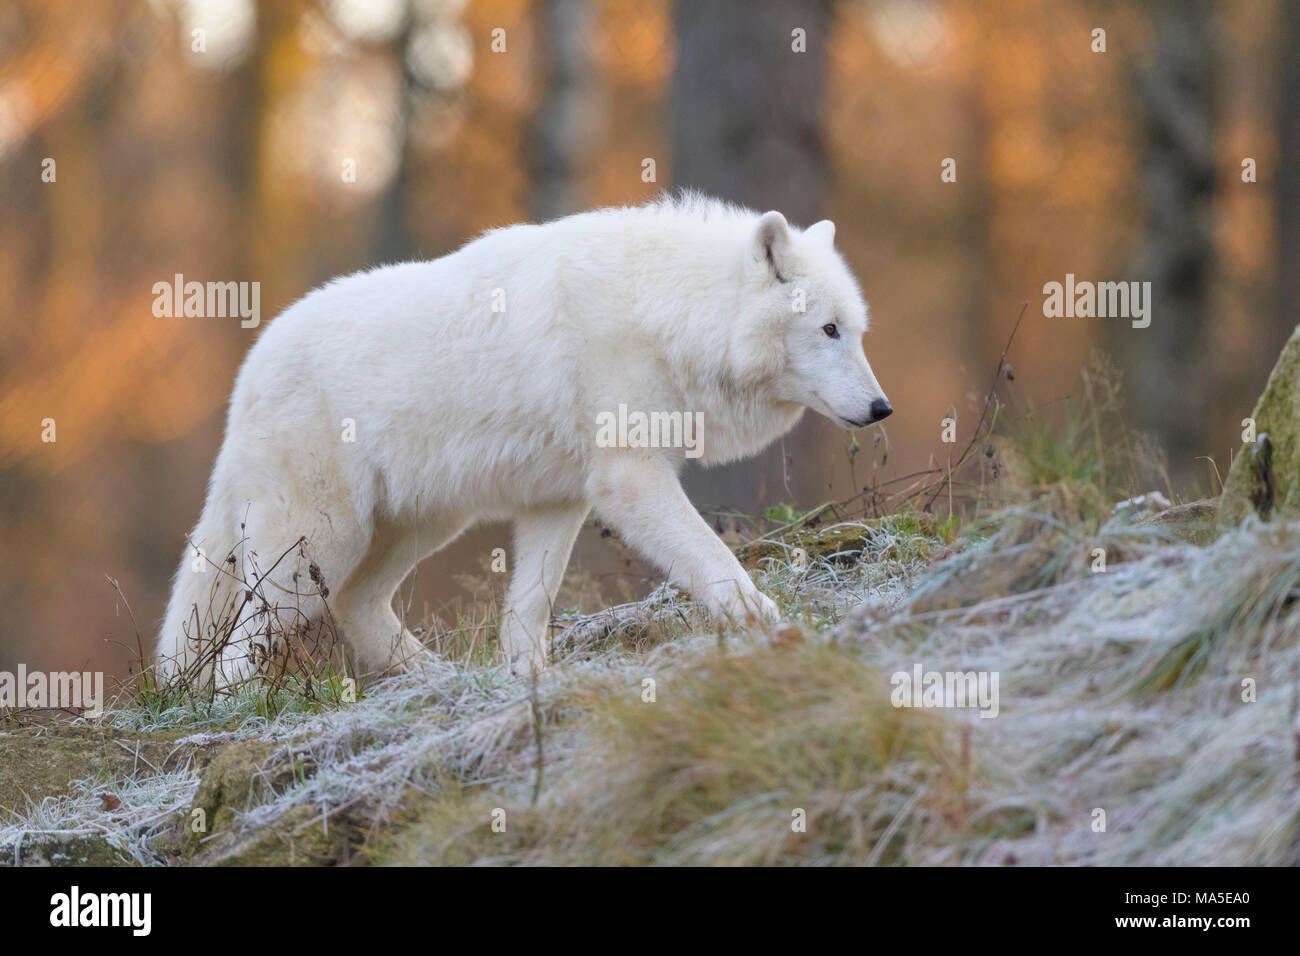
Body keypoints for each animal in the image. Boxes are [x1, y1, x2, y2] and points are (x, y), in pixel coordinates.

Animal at [156, 195, 892, 682]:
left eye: (857, 332)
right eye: (827, 330)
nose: (883, 408)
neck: (667, 314)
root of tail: (249, 370)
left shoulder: (559, 501)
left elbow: (528, 606)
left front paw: (529, 681)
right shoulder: (631, 480)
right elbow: (717, 565)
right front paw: (774, 626)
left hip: (418, 526)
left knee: (355, 604)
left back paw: (438, 679)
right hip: (321, 542)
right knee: (238, 648)